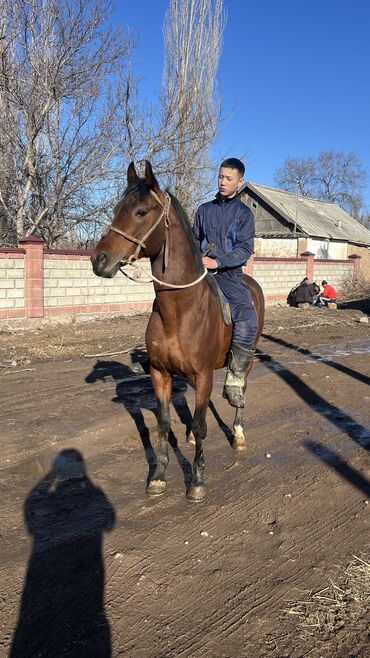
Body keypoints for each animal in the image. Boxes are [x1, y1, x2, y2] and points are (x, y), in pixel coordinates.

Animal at [92, 161, 266, 500]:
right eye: (117, 209)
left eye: (141, 212)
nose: (99, 259)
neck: (179, 311)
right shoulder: (160, 373)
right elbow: (162, 423)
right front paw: (158, 476)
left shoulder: (205, 374)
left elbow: (201, 425)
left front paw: (196, 481)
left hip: (247, 359)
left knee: (241, 389)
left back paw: (238, 433)